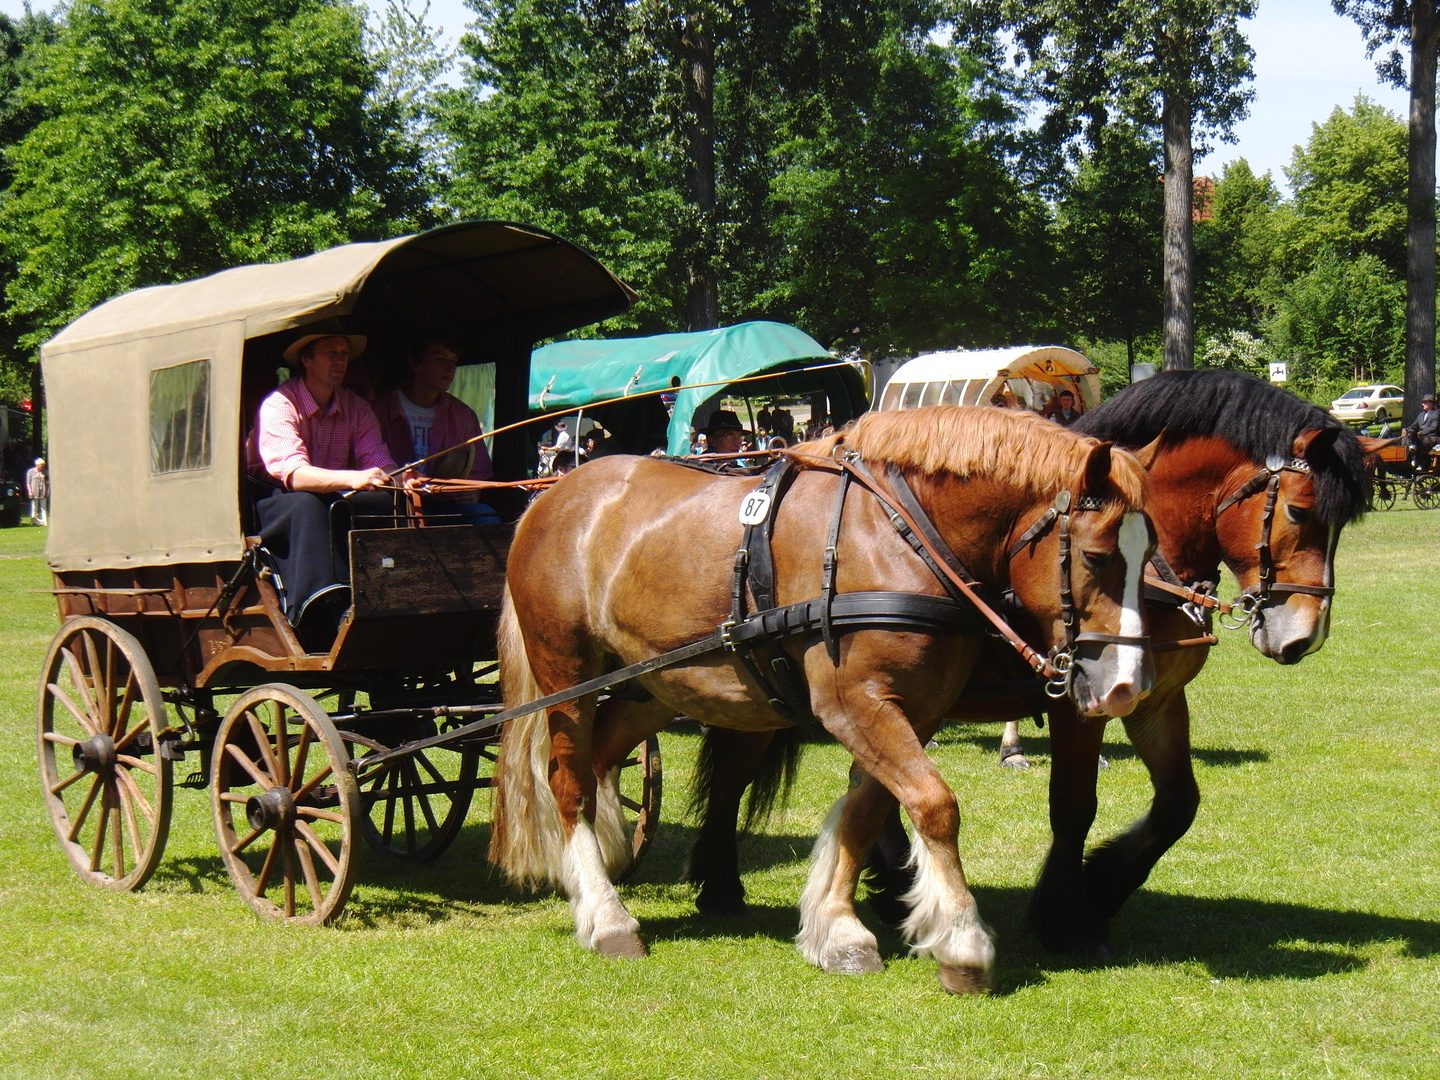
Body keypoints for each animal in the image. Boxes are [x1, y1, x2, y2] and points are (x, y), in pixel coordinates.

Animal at [489, 408, 1152, 996]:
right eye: (1095, 556)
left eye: (1150, 557)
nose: (1126, 686)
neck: (898, 535)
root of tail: (550, 496)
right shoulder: (854, 704)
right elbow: (935, 805)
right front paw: (963, 942)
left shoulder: (913, 710)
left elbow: (867, 812)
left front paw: (837, 929)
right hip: (567, 675)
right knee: (567, 780)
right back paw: (607, 918)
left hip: (656, 683)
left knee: (596, 763)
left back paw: (595, 877)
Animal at [685, 371, 1370, 956]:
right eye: (1301, 511)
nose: (1303, 637)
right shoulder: (1079, 701)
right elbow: (1074, 806)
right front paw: (1065, 915)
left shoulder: (1154, 699)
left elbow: (1179, 803)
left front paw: (1101, 886)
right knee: (743, 775)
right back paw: (736, 885)